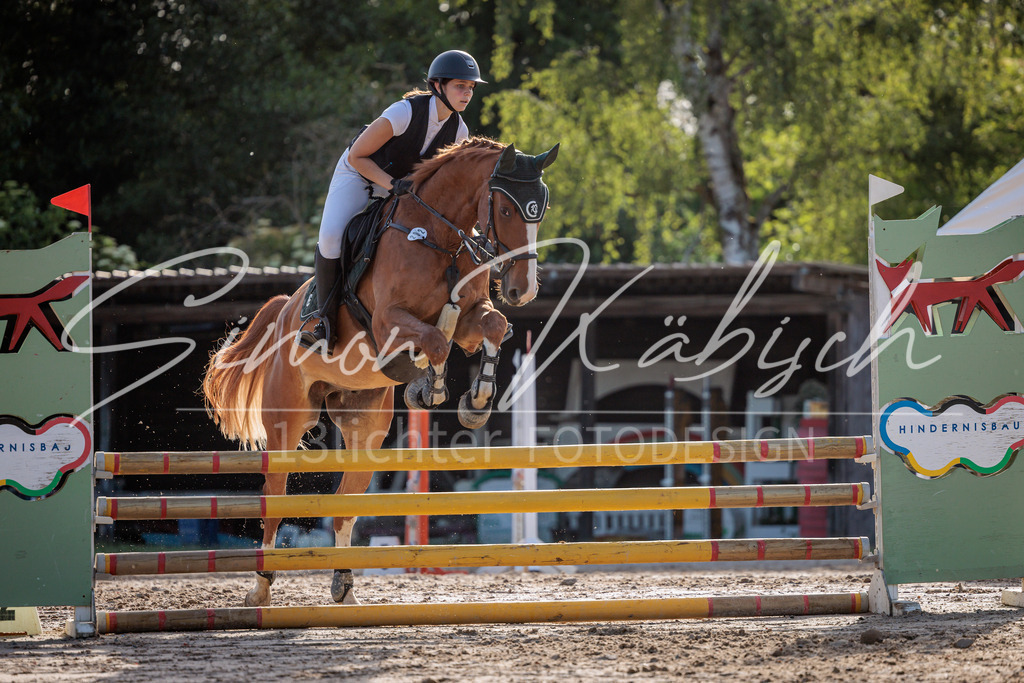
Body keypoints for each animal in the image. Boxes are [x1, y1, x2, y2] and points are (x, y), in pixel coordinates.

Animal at [202, 137, 558, 607]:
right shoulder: (389, 323)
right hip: (288, 421)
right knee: (274, 503)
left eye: (540, 210)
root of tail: (284, 311)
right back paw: (260, 589)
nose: (522, 290)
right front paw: (430, 388)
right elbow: (436, 341)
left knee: (342, 510)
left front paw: (475, 401)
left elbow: (491, 327)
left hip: (365, 428)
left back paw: (344, 589)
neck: (441, 239)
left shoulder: (470, 319)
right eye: (504, 209)